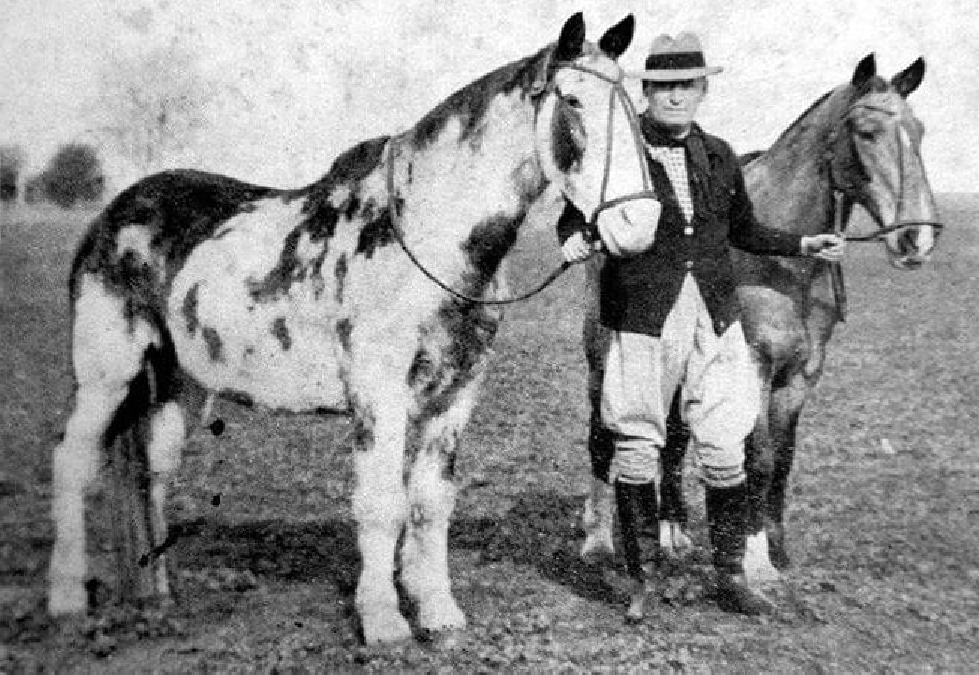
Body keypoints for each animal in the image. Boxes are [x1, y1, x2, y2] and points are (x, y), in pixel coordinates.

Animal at [47, 13, 662, 644]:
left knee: (153, 472)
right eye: (573, 100)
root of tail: (110, 216)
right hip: (108, 375)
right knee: (72, 462)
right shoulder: (379, 390)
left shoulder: (456, 394)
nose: (638, 222)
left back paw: (159, 597)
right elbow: (381, 503)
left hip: (182, 383)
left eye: (635, 107)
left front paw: (438, 613)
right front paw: (384, 620)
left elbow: (430, 503)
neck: (426, 233)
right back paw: (67, 600)